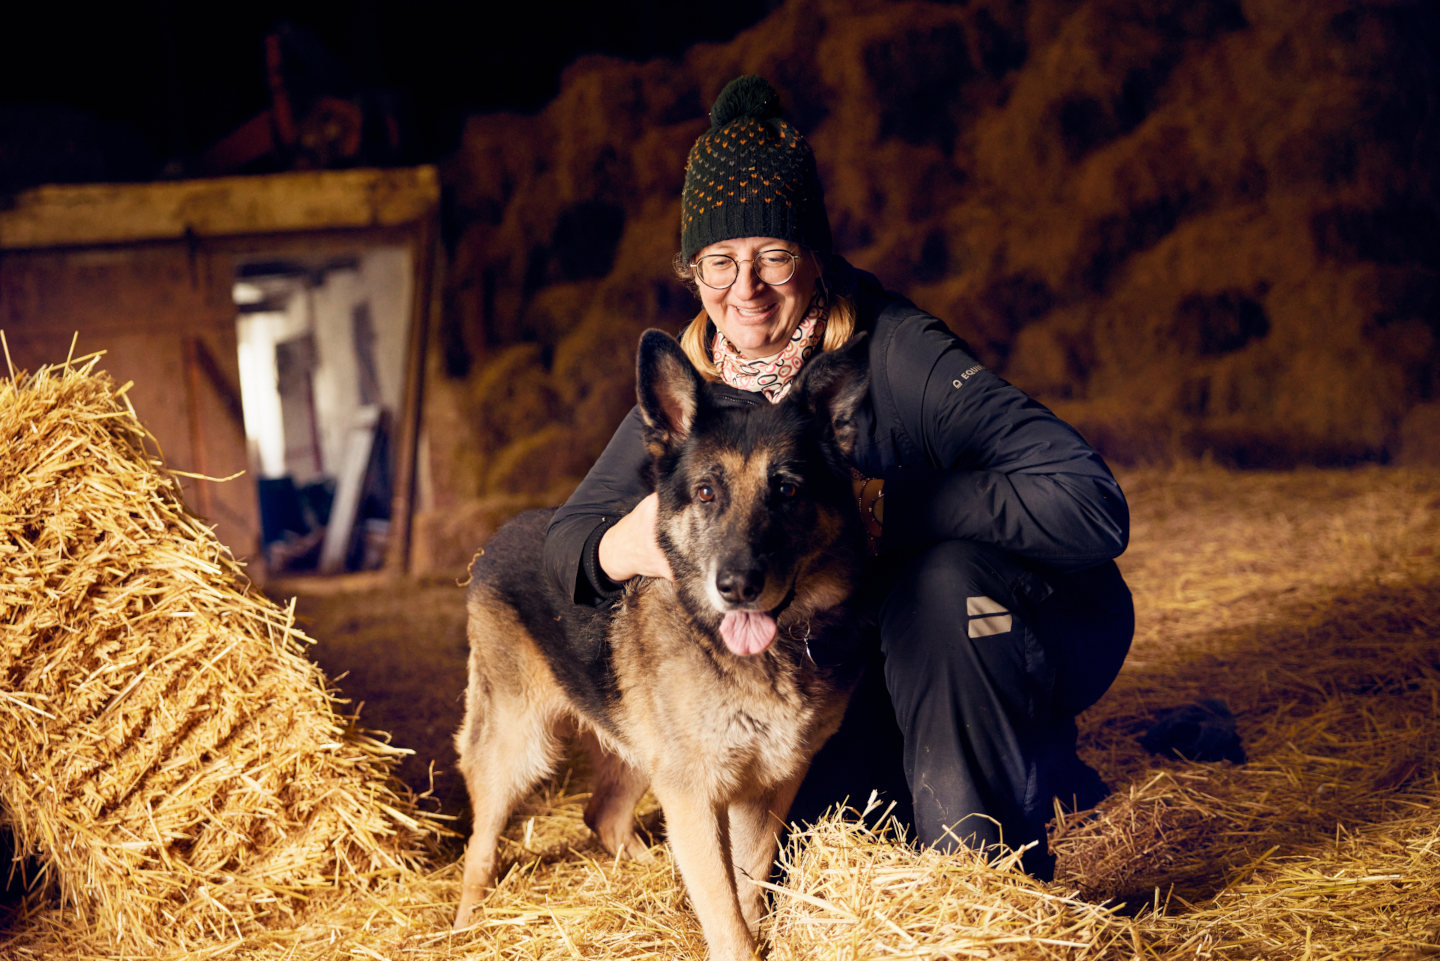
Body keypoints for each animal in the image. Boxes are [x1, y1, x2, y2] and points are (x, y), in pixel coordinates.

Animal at [449, 327, 869, 956]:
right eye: (706, 492)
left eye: (788, 490)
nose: (736, 587)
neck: (767, 656)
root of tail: (498, 535)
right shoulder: (694, 793)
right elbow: (723, 910)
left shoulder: (766, 786)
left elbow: (747, 887)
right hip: (517, 745)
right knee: (481, 845)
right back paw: (465, 925)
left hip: (640, 749)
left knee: (603, 815)